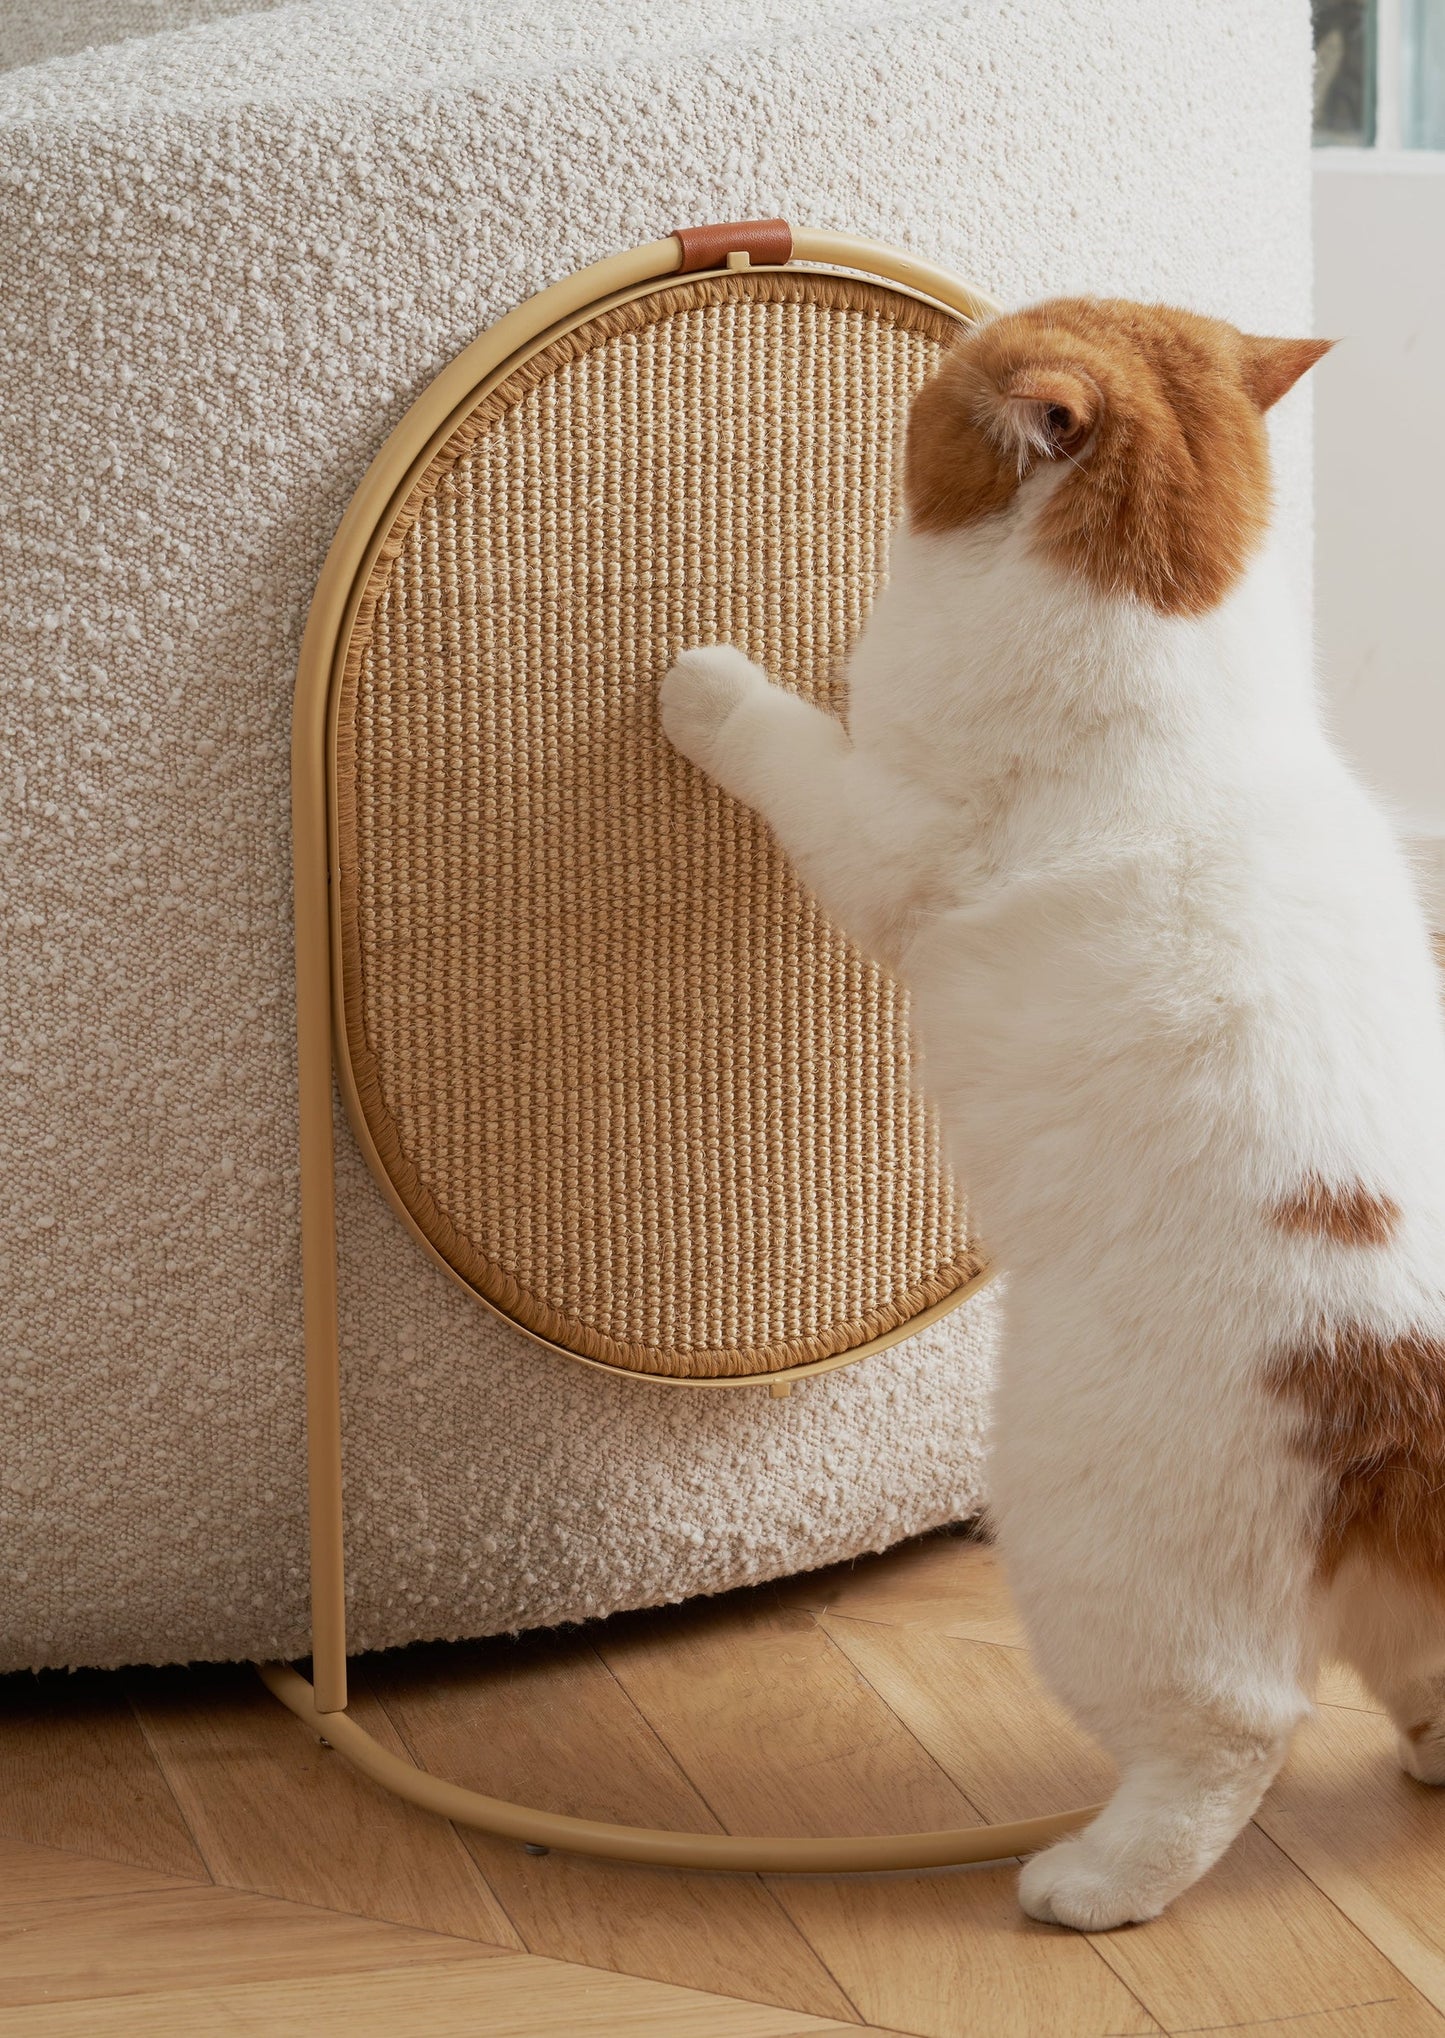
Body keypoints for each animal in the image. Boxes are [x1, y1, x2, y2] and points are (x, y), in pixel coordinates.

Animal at [660, 295, 1442, 1932]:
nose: (952, 331)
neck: (1163, 633)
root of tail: (1404, 1387)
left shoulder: (879, 824)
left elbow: (780, 738)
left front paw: (701, 683)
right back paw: (1426, 1748)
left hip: (1092, 1549)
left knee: (1231, 1735)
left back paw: (1088, 1882)